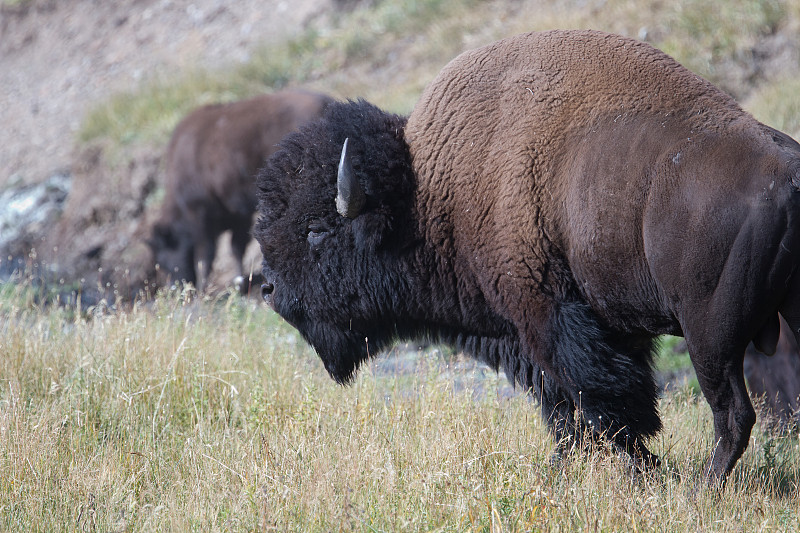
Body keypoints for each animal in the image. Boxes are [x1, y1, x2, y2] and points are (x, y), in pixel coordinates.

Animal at [148, 90, 332, 294]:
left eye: (163, 256)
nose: (175, 286)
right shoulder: (237, 214)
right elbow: (236, 247)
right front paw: (239, 282)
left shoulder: (201, 216)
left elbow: (206, 254)